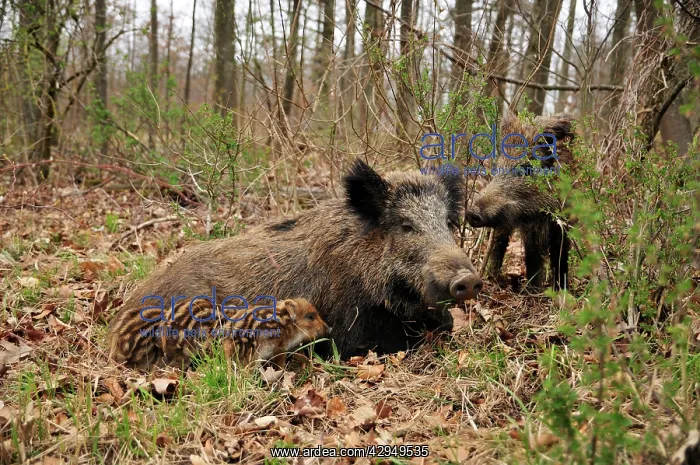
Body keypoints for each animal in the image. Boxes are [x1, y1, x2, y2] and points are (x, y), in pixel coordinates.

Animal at [464, 114, 575, 290]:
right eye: (498, 168)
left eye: (525, 169)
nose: (470, 213)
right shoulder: (531, 228)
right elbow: (533, 258)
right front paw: (533, 291)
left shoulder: (564, 224)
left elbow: (560, 256)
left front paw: (560, 291)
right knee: (498, 244)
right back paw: (492, 277)